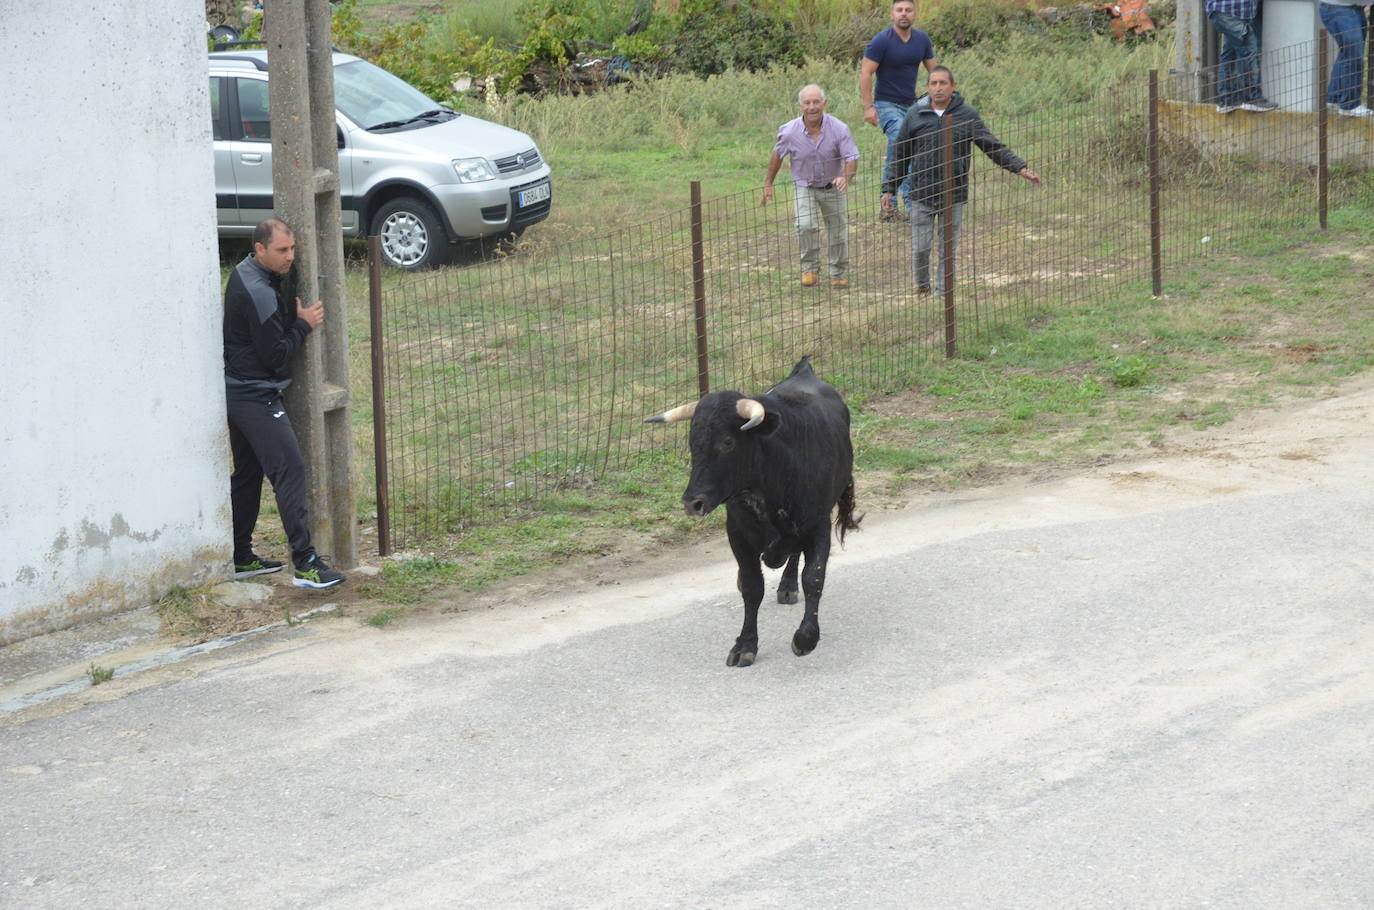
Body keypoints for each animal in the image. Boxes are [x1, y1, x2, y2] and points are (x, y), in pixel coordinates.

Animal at [643, 357, 857, 670]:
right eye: (693, 441)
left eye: (727, 442)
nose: (692, 502)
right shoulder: (738, 534)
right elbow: (753, 587)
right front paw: (745, 644)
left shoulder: (818, 526)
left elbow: (814, 578)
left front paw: (806, 638)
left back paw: (788, 586)